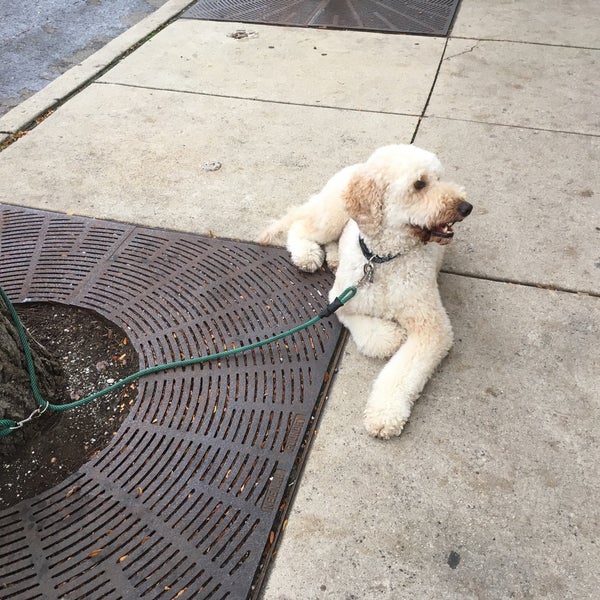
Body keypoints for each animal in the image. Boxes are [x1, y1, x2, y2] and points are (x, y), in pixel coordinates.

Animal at [260, 143, 472, 438]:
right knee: (301, 227)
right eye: (419, 184)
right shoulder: (340, 301)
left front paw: (385, 413)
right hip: (333, 215)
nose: (466, 207)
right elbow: (370, 333)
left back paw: (333, 256)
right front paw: (392, 337)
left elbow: (403, 372)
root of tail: (357, 166)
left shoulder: (432, 327)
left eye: (440, 177)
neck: (383, 260)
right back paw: (307, 254)